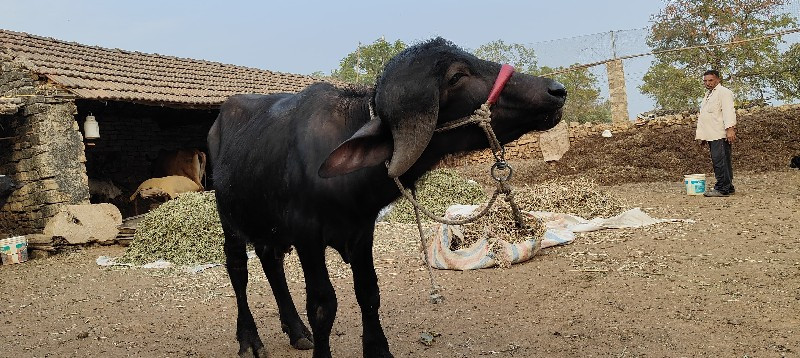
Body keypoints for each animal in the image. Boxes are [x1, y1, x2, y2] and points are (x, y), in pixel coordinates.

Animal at [208, 37, 568, 356]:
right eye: (456, 76)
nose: (556, 90)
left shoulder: (361, 232)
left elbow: (368, 292)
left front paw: (379, 350)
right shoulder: (307, 236)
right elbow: (323, 306)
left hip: (269, 227)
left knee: (271, 262)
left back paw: (296, 332)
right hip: (230, 220)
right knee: (238, 270)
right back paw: (249, 340)